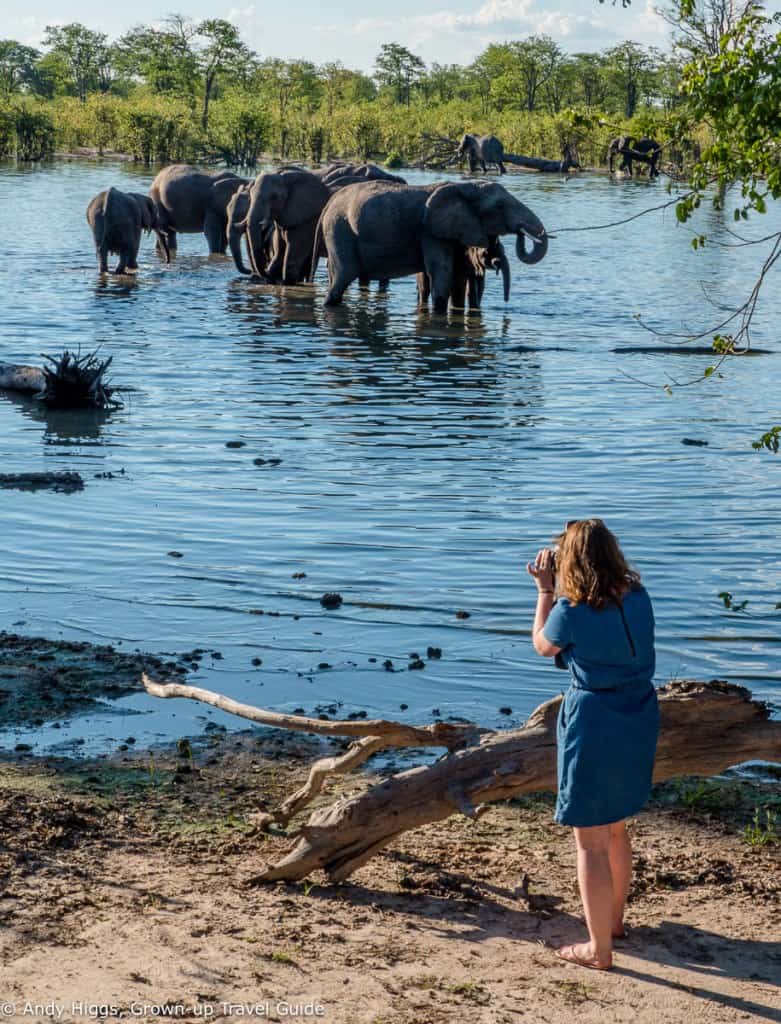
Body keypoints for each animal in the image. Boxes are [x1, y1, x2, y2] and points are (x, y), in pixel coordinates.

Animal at [313, 178, 548, 311]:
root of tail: (328, 204)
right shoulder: (431, 230)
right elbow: (441, 271)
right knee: (343, 276)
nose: (522, 233)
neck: (466, 187)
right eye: (499, 206)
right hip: (339, 229)